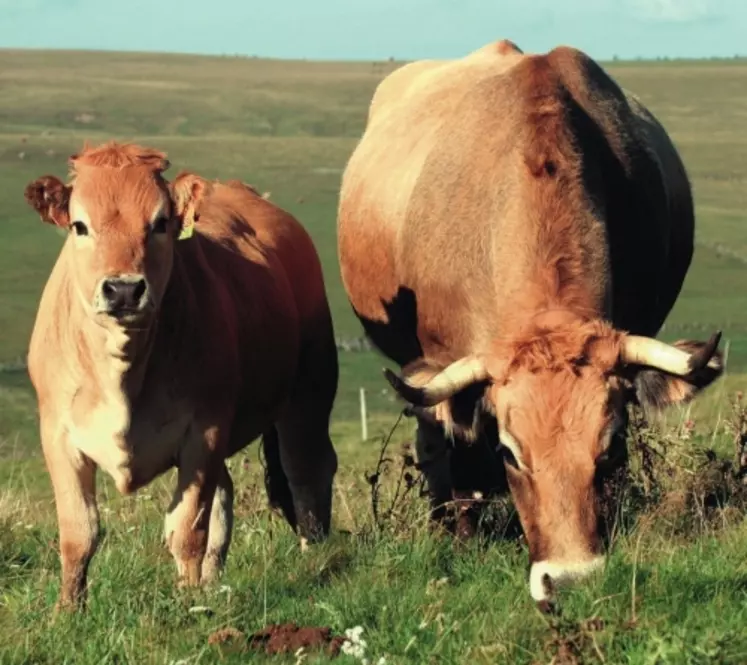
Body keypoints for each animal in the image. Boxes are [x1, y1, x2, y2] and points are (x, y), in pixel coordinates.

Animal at [23, 143, 338, 608]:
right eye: (80, 225)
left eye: (160, 223)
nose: (122, 289)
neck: (123, 372)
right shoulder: (59, 435)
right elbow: (78, 533)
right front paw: (68, 609)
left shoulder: (202, 433)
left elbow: (187, 530)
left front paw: (189, 603)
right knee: (227, 493)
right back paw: (212, 579)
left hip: (309, 389)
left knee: (306, 471)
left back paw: (311, 556)